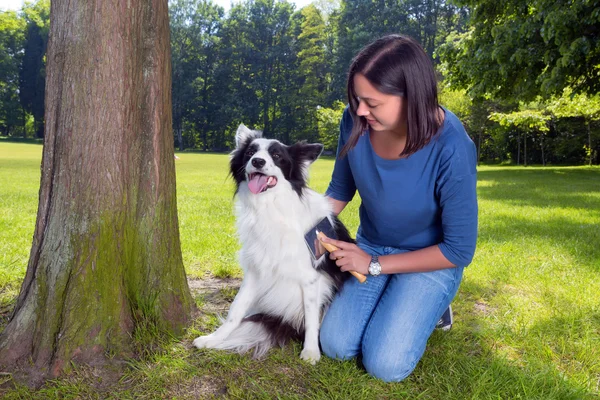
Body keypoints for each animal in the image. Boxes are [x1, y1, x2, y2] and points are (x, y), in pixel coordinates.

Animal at [192, 124, 354, 362]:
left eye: (277, 156)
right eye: (250, 152)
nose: (258, 161)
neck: (270, 207)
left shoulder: (310, 278)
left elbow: (312, 318)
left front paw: (311, 352)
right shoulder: (254, 271)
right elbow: (235, 310)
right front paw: (214, 338)